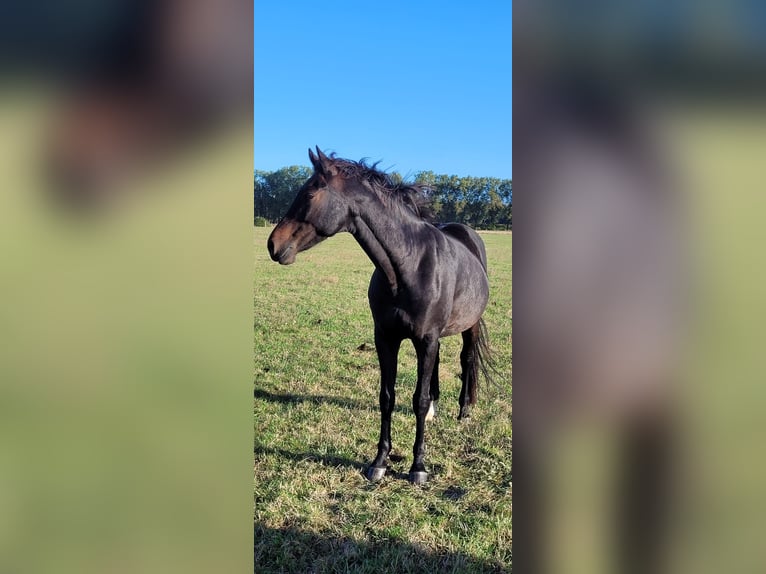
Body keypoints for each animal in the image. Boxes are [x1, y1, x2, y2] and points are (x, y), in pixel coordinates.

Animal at [268, 146, 498, 484]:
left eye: (309, 194)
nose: (273, 244)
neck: (409, 265)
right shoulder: (386, 338)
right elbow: (387, 397)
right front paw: (379, 461)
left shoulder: (425, 338)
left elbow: (418, 400)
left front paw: (418, 466)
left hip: (468, 327)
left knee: (467, 359)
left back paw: (464, 411)